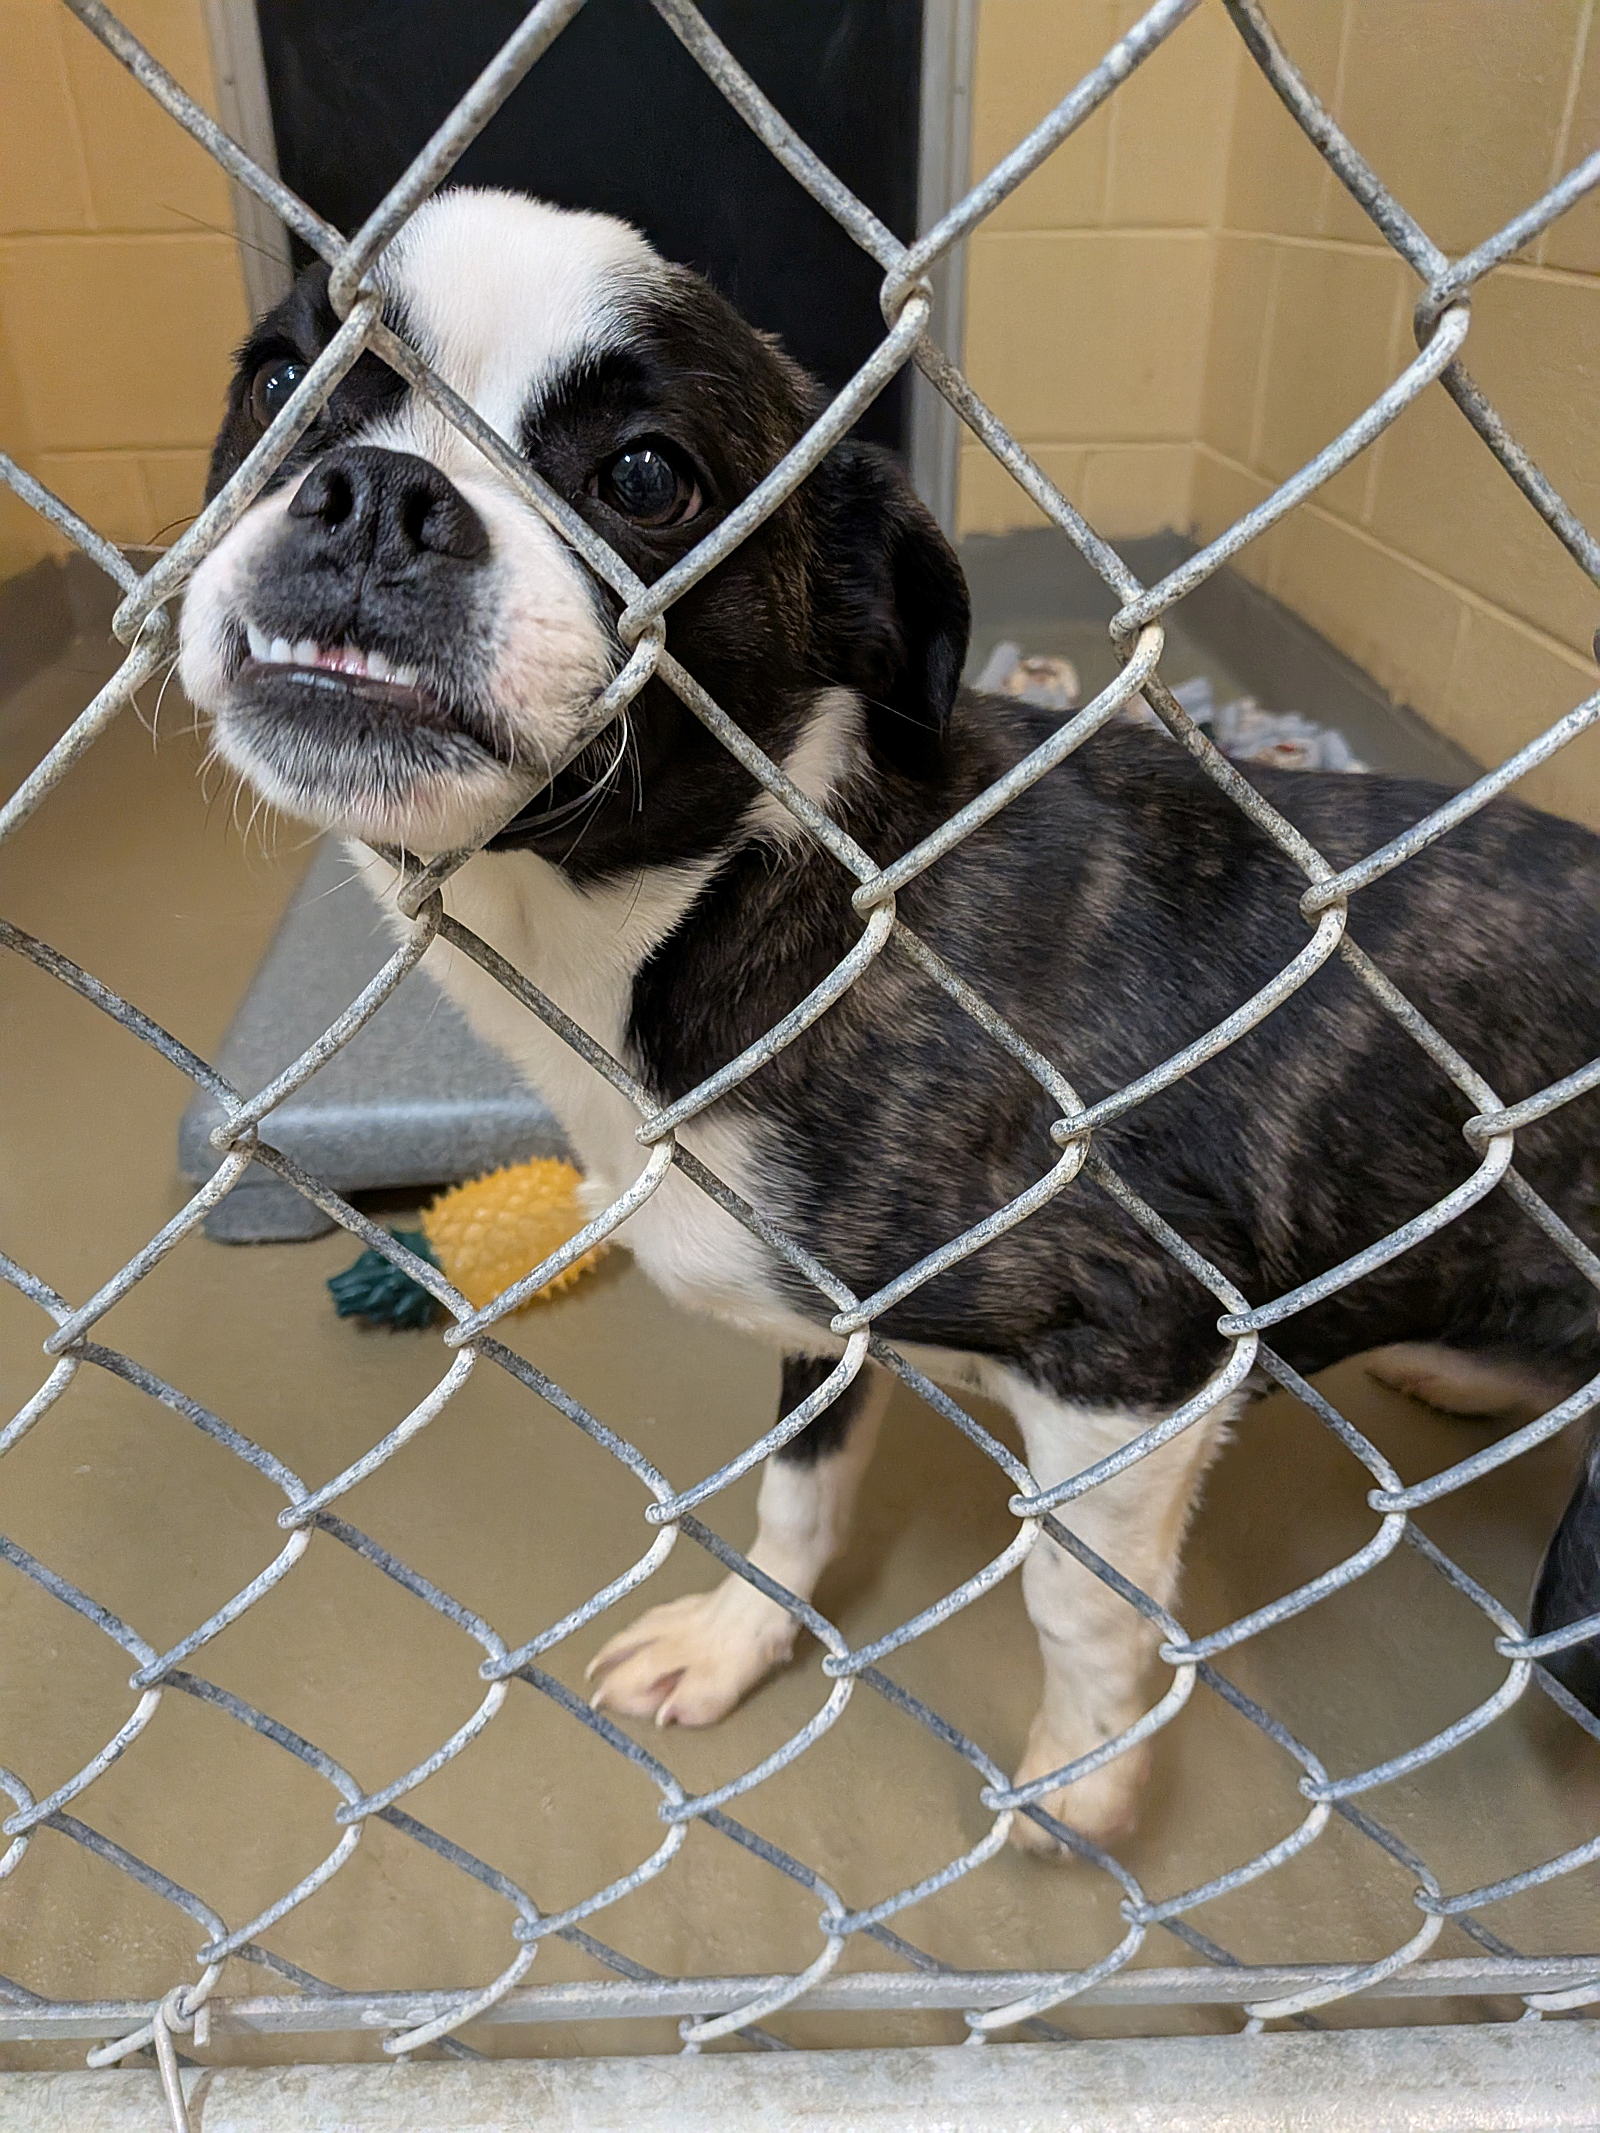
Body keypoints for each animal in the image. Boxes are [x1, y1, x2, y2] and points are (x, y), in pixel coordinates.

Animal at [180, 188, 1600, 1850]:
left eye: (647, 476)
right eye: (277, 384)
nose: (376, 497)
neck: (710, 907)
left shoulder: (1135, 1354)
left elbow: (1077, 1597)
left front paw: (1086, 1779)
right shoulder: (830, 1325)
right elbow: (796, 1497)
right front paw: (739, 1647)